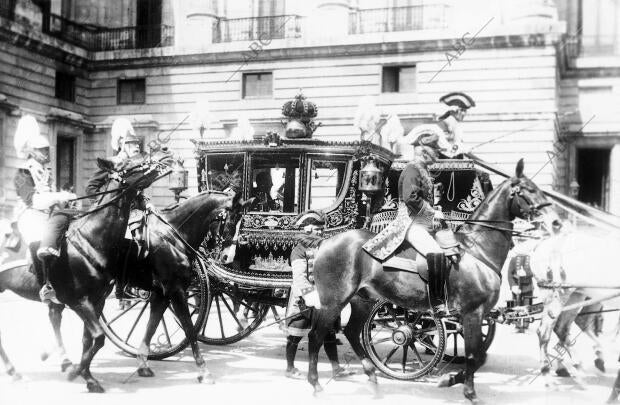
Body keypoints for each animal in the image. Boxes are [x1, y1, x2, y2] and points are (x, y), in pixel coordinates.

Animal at [308, 160, 556, 400]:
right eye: (528, 190)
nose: (554, 222)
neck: (477, 250)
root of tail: (325, 242)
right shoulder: (472, 313)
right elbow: (474, 356)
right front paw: (468, 391)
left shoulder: (477, 315)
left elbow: (480, 355)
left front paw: (453, 379)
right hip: (333, 302)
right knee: (316, 335)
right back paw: (316, 384)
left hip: (363, 301)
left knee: (351, 333)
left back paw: (372, 379)